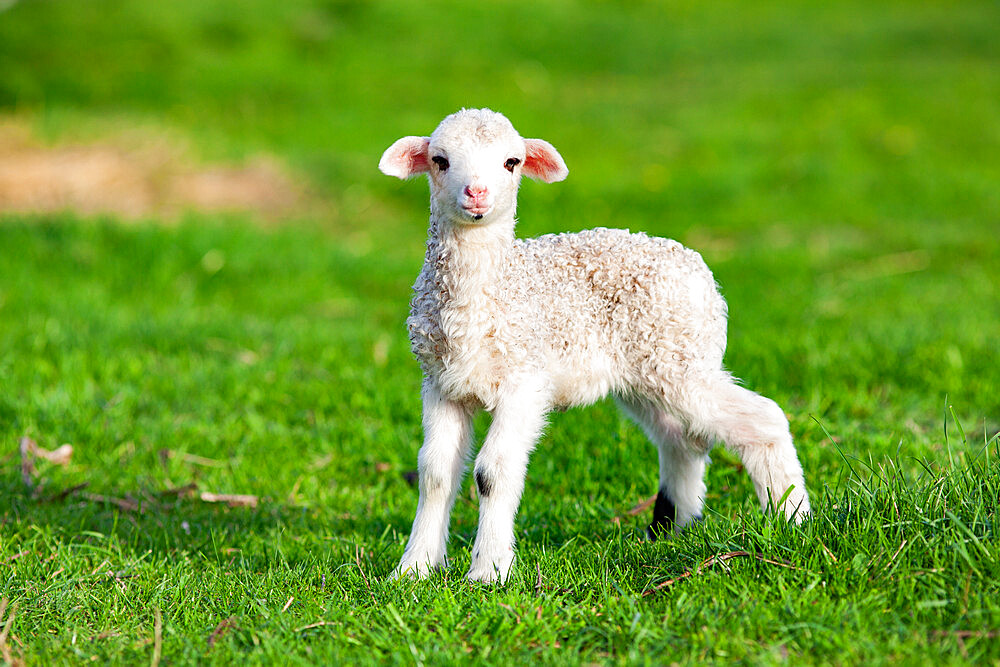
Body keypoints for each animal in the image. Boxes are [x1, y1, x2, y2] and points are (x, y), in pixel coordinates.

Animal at [378, 108, 808, 584]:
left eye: (511, 162)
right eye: (440, 160)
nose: (477, 192)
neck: (489, 295)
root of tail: (699, 268)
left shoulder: (525, 382)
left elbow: (492, 471)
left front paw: (488, 572)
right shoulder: (441, 383)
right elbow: (435, 472)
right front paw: (413, 571)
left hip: (683, 357)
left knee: (764, 418)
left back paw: (793, 518)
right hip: (647, 372)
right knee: (681, 440)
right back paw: (671, 529)